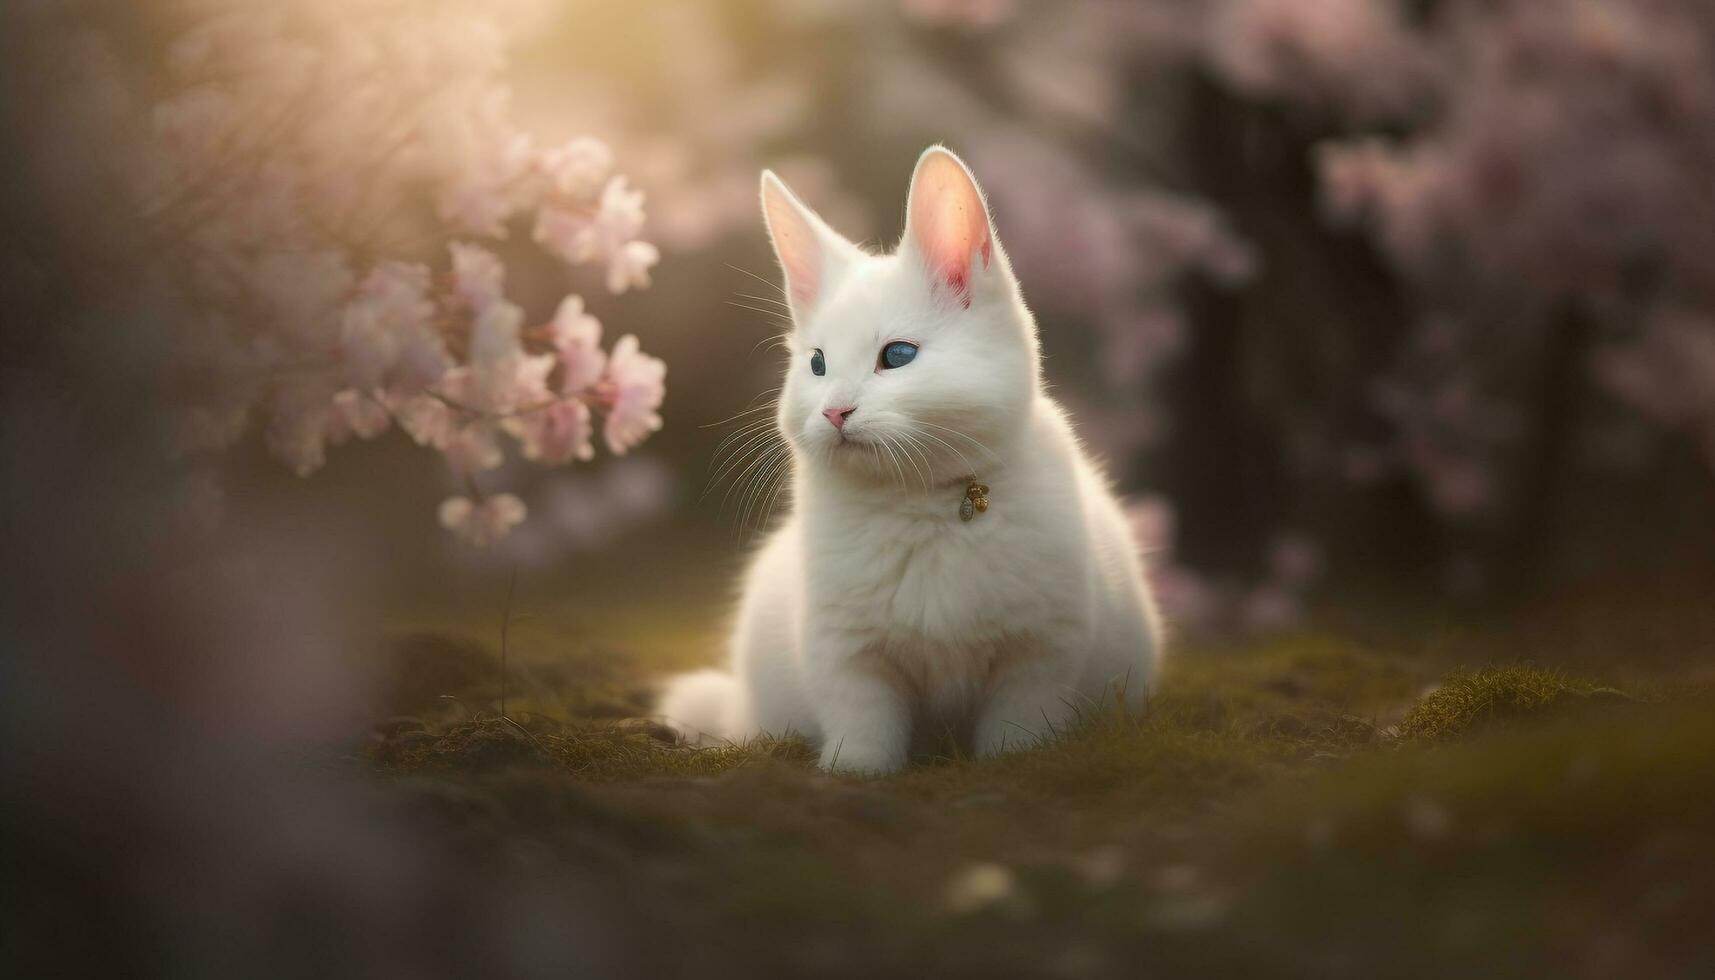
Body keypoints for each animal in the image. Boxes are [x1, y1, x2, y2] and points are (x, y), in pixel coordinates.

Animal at [658, 147, 1166, 775]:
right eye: (817, 363)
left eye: (897, 355)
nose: (834, 412)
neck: (921, 499)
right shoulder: (849, 653)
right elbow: (865, 721)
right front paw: (853, 771)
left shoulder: (1040, 652)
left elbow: (1019, 721)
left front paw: (1013, 760)